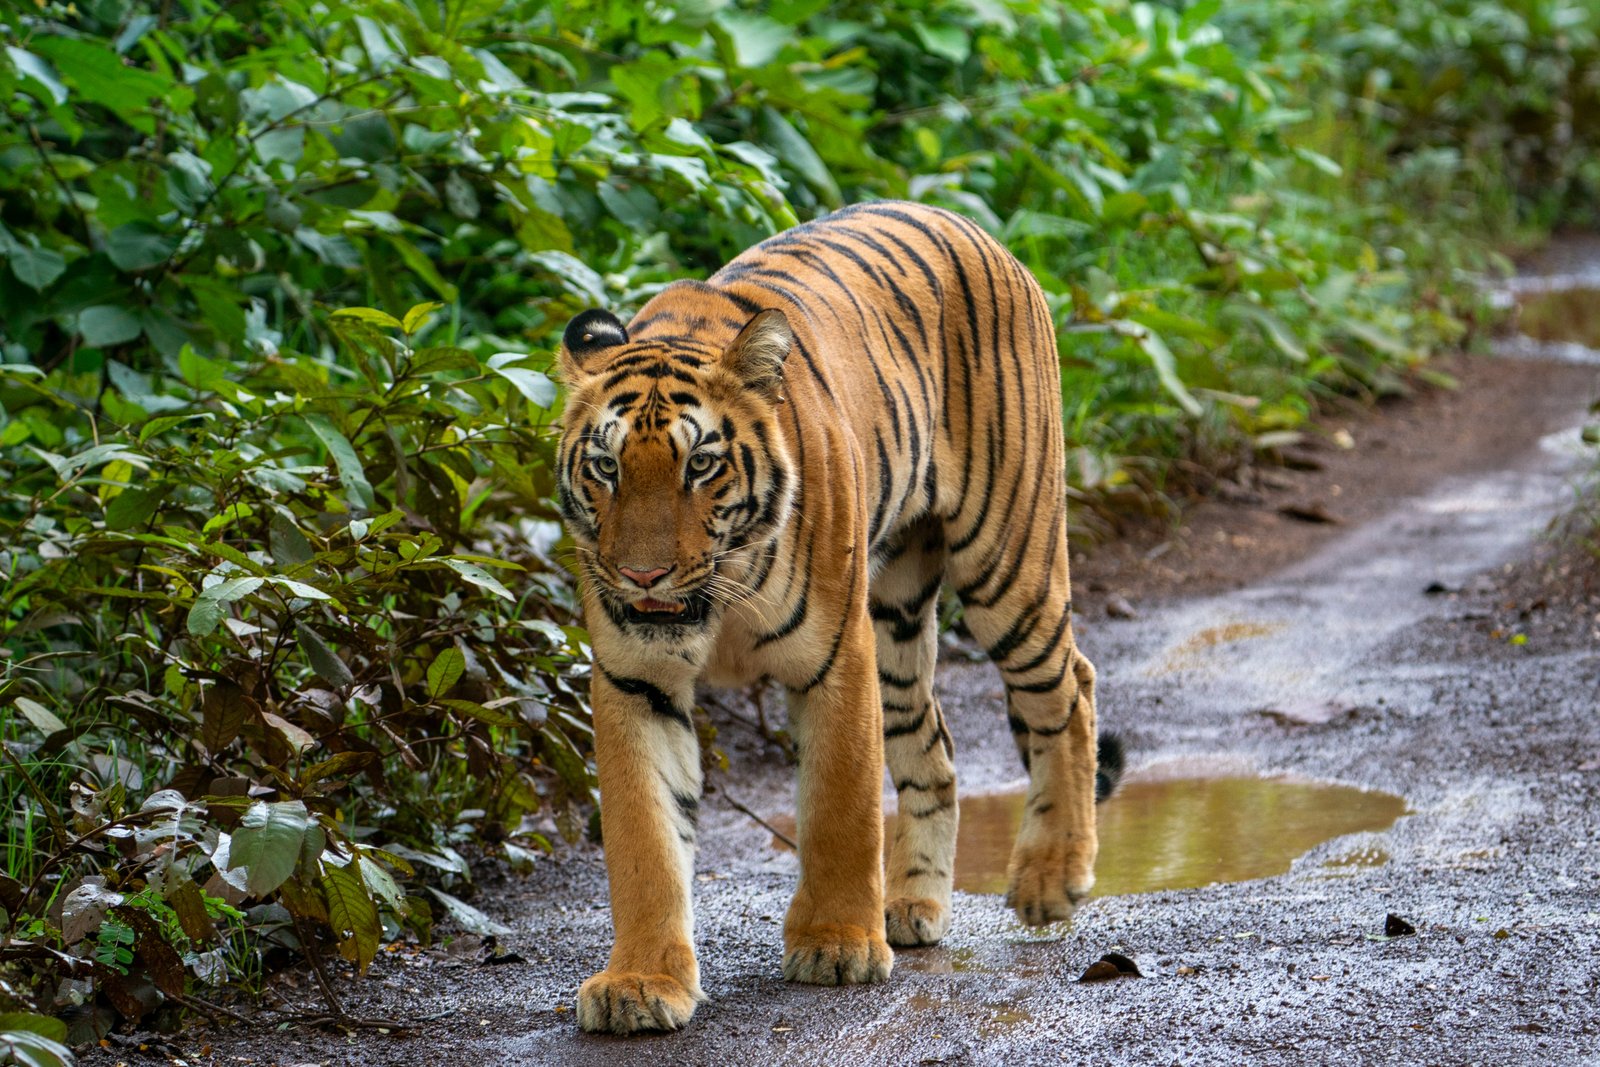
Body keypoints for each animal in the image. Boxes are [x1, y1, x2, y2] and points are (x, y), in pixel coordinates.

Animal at [555, 200, 1114, 1035]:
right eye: (605, 467)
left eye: (700, 465)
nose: (642, 575)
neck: (720, 594)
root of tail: (970, 224)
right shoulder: (635, 676)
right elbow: (644, 835)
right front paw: (641, 982)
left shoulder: (835, 657)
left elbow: (840, 806)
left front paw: (839, 943)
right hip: (899, 613)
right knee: (936, 746)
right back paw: (913, 903)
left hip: (1008, 558)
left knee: (1068, 687)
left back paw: (1051, 877)